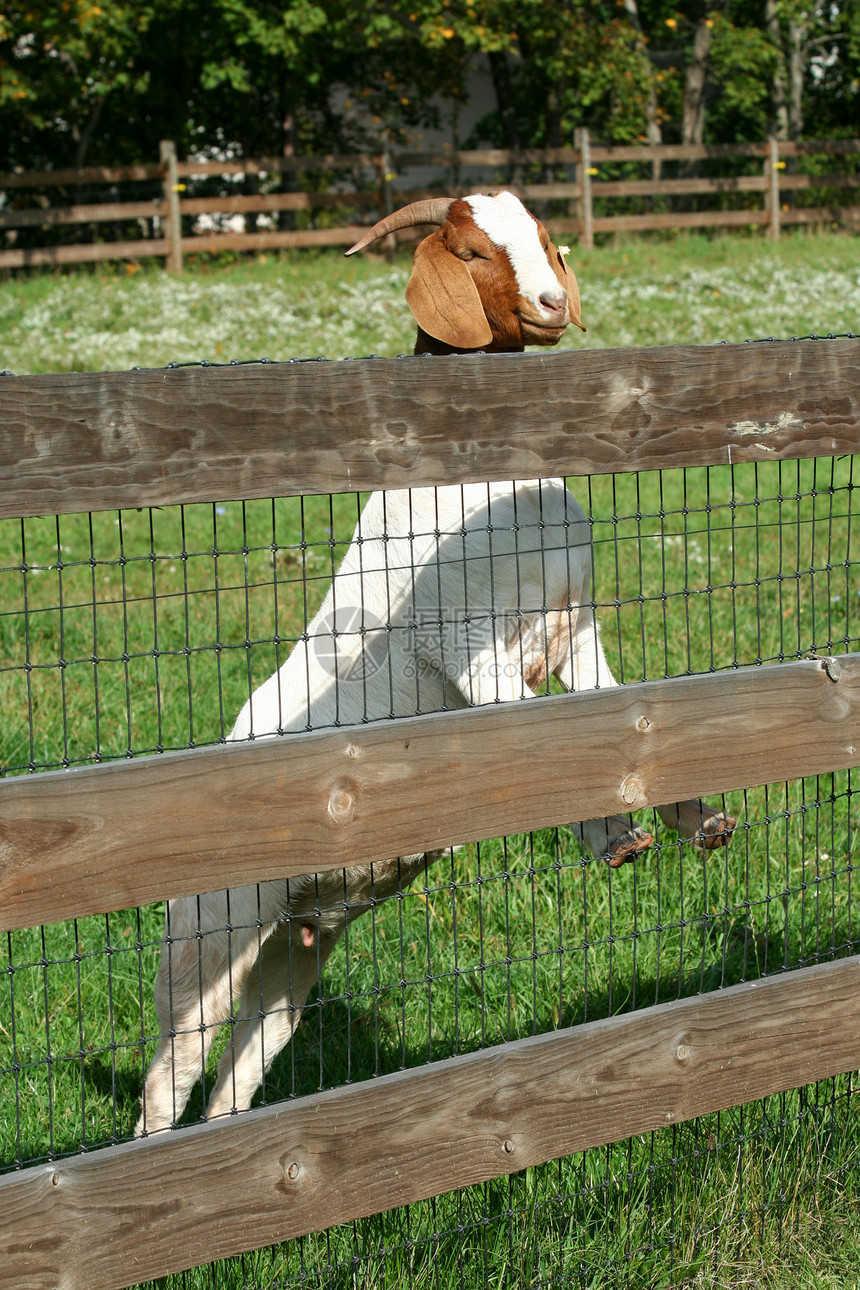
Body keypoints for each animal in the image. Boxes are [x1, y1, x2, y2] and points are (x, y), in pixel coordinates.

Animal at [137, 188, 737, 1130]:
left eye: (540, 235)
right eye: (470, 250)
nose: (552, 304)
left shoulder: (576, 632)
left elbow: (612, 721)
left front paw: (695, 818)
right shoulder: (469, 648)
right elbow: (551, 739)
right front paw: (615, 838)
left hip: (293, 949)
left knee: (242, 1067)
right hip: (210, 926)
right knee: (170, 1068)